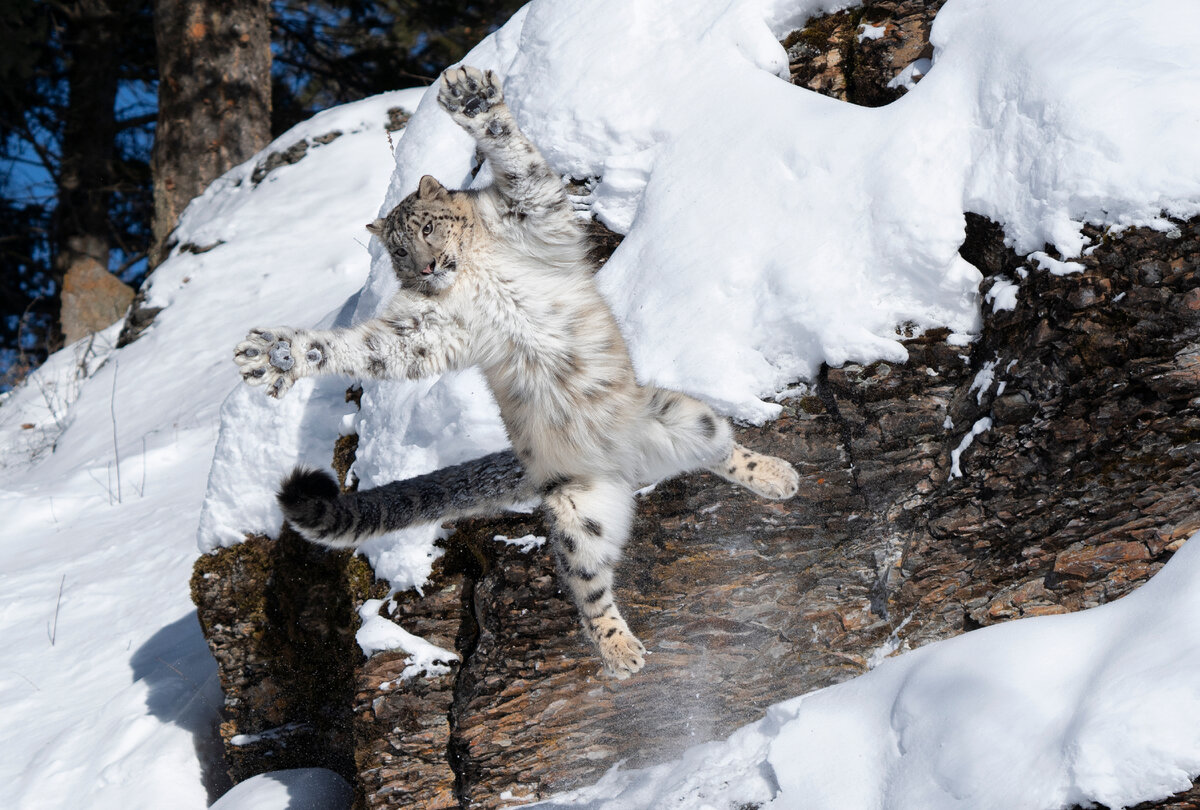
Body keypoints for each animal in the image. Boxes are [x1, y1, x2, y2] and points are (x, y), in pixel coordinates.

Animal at [232, 68, 796, 676]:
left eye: (427, 228)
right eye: (399, 253)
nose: (426, 267)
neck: (471, 271)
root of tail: (625, 463)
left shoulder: (535, 212)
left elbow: (522, 164)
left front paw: (474, 101)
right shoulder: (427, 330)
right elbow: (370, 348)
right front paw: (279, 354)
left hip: (683, 416)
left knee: (722, 451)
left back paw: (776, 475)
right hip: (578, 512)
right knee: (585, 583)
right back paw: (620, 652)